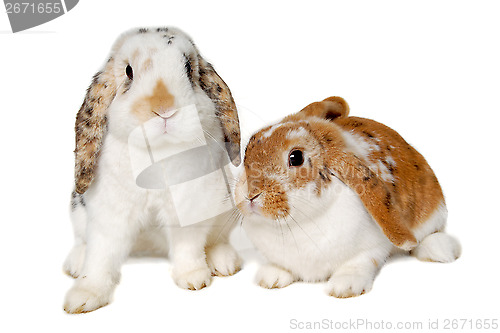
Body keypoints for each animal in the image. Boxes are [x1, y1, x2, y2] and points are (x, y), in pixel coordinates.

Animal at [63, 27, 243, 312]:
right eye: (128, 71)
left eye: (188, 67)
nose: (164, 109)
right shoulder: (110, 213)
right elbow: (101, 255)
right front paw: (84, 296)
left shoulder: (188, 206)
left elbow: (187, 244)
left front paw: (193, 278)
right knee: (83, 242)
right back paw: (76, 264)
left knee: (217, 239)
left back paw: (223, 262)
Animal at [235, 95, 460, 296]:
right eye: (247, 149)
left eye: (296, 157)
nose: (250, 195)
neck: (298, 223)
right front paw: (271, 277)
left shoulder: (372, 248)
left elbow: (360, 262)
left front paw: (345, 286)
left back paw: (439, 250)